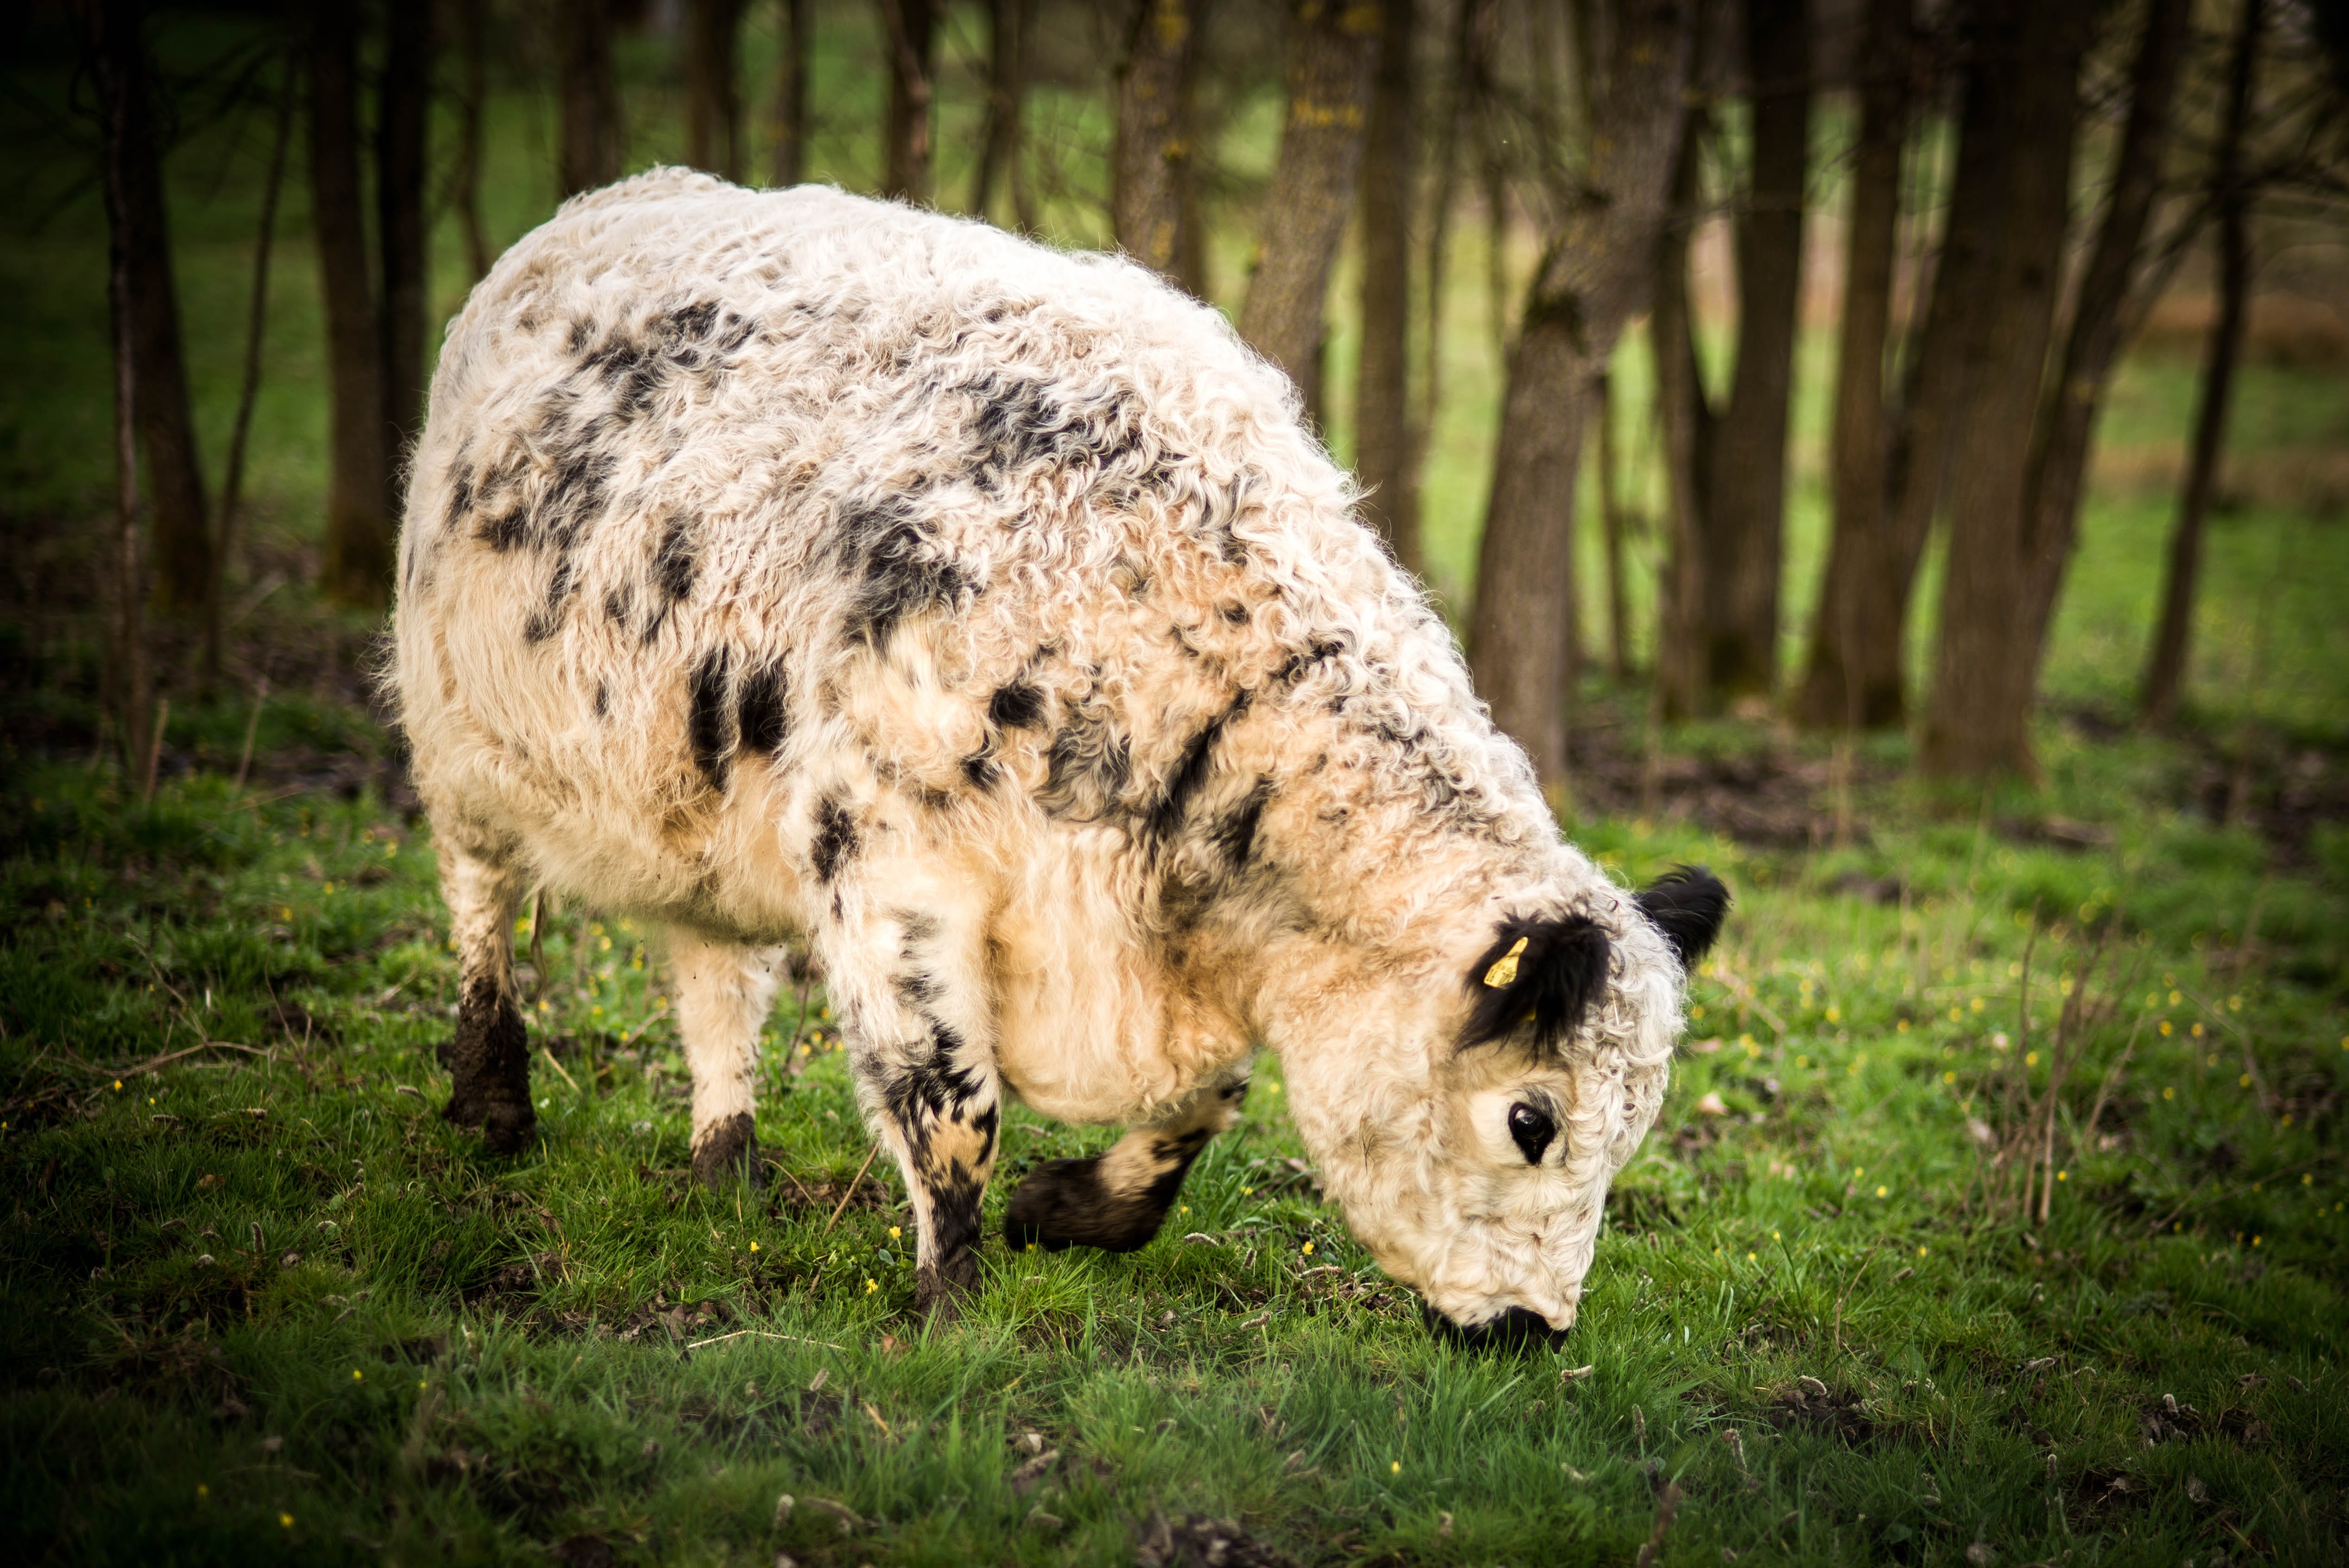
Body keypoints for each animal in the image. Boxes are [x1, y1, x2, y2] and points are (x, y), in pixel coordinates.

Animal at [390, 169, 1727, 1349]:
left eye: (1631, 1130)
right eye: (1529, 1117)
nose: (1531, 1330)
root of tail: (609, 206)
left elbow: (1202, 1105)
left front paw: (1069, 1209)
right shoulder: (888, 866)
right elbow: (949, 1102)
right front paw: (955, 1305)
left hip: (702, 805)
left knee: (717, 978)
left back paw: (727, 1165)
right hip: (454, 730)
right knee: (479, 895)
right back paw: (493, 1096)